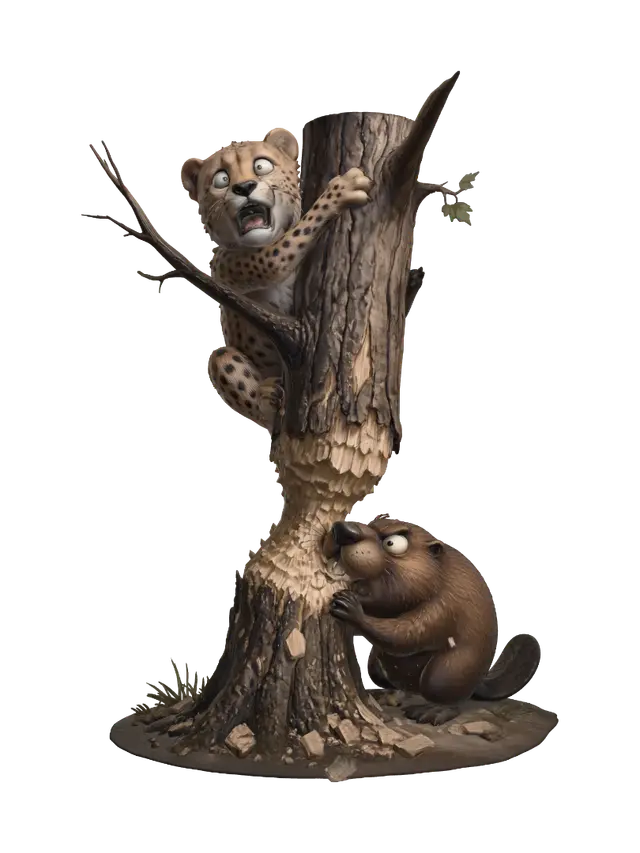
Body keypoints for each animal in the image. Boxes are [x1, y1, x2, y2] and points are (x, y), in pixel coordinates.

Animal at [179, 126, 373, 433]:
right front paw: (340, 190)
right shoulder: (237, 264)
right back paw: (267, 399)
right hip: (225, 360)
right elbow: (298, 233)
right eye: (222, 179)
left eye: (261, 166)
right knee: (225, 362)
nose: (244, 188)